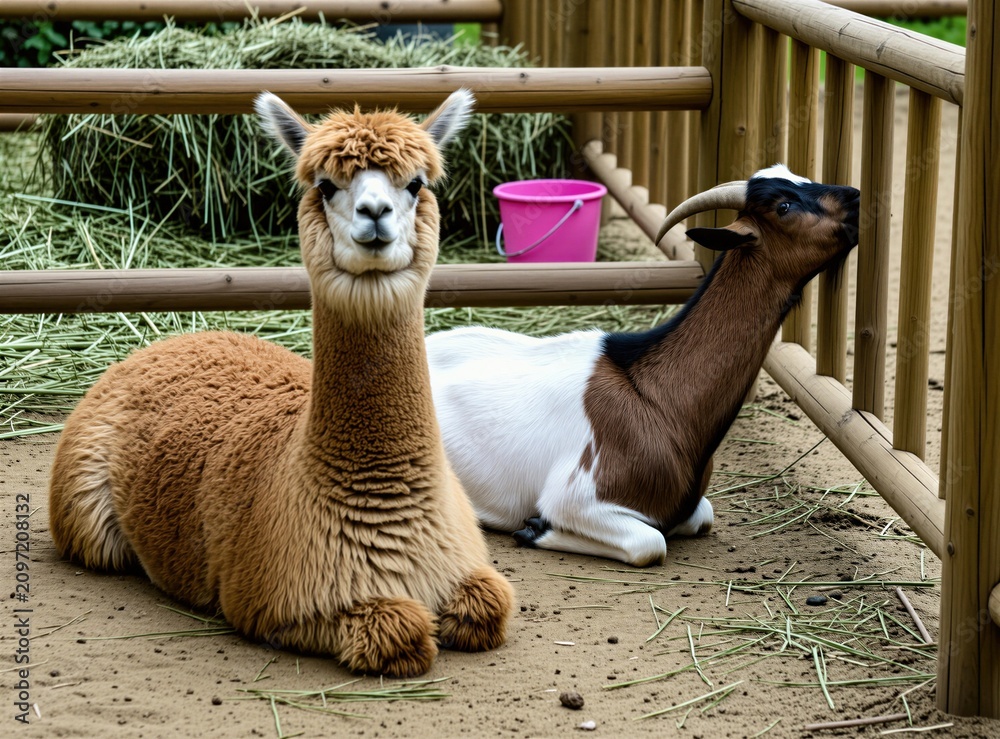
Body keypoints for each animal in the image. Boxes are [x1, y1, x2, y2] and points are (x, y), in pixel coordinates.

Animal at [49, 89, 514, 677]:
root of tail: (173, 341)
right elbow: (399, 630)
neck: (391, 515)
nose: (375, 213)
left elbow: (490, 606)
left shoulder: (468, 568)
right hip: (82, 507)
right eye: (326, 185)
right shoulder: (273, 602)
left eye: (415, 184)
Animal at [426, 165, 860, 566]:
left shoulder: (691, 504)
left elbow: (701, 515)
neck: (654, 397)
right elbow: (650, 543)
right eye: (784, 206)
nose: (855, 196)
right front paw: (535, 528)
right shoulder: (577, 496)